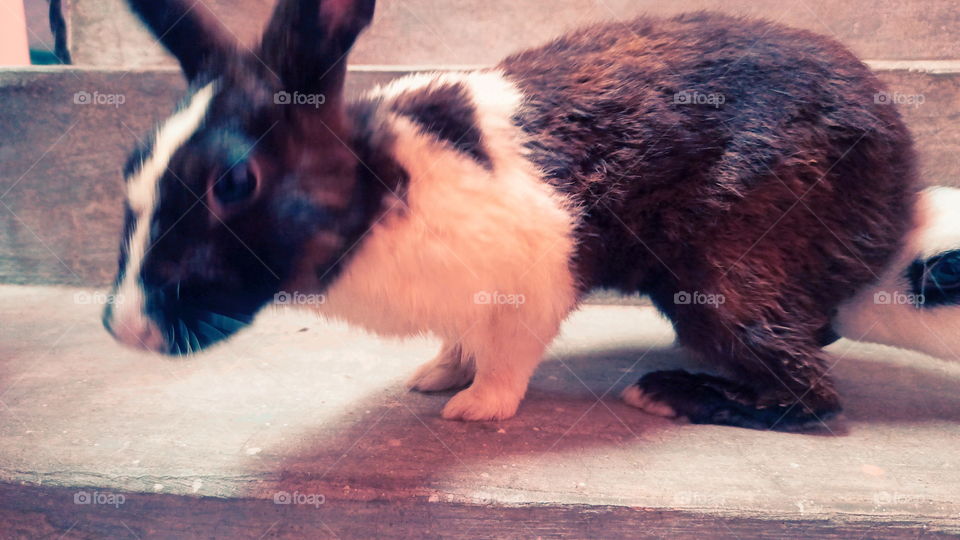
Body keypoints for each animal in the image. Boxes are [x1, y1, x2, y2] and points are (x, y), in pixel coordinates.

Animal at [102, 0, 920, 430]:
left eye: (235, 183)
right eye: (133, 160)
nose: (123, 327)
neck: (387, 190)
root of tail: (902, 184)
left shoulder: (529, 286)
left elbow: (507, 356)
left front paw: (473, 408)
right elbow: (460, 339)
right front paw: (435, 376)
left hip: (726, 280)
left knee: (810, 393)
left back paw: (668, 392)